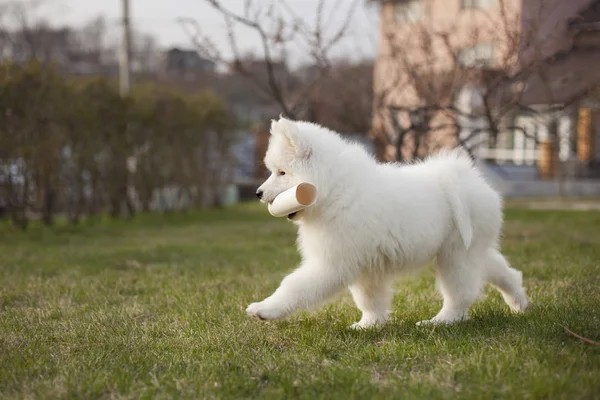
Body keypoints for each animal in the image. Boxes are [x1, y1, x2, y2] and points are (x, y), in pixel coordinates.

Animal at [246, 116, 528, 328]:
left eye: (282, 172)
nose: (258, 193)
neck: (336, 191)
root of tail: (466, 178)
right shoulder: (366, 266)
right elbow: (370, 299)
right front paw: (369, 325)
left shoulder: (332, 262)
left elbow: (294, 286)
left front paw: (264, 309)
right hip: (469, 248)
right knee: (500, 270)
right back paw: (519, 302)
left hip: (455, 254)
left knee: (460, 293)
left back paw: (440, 321)